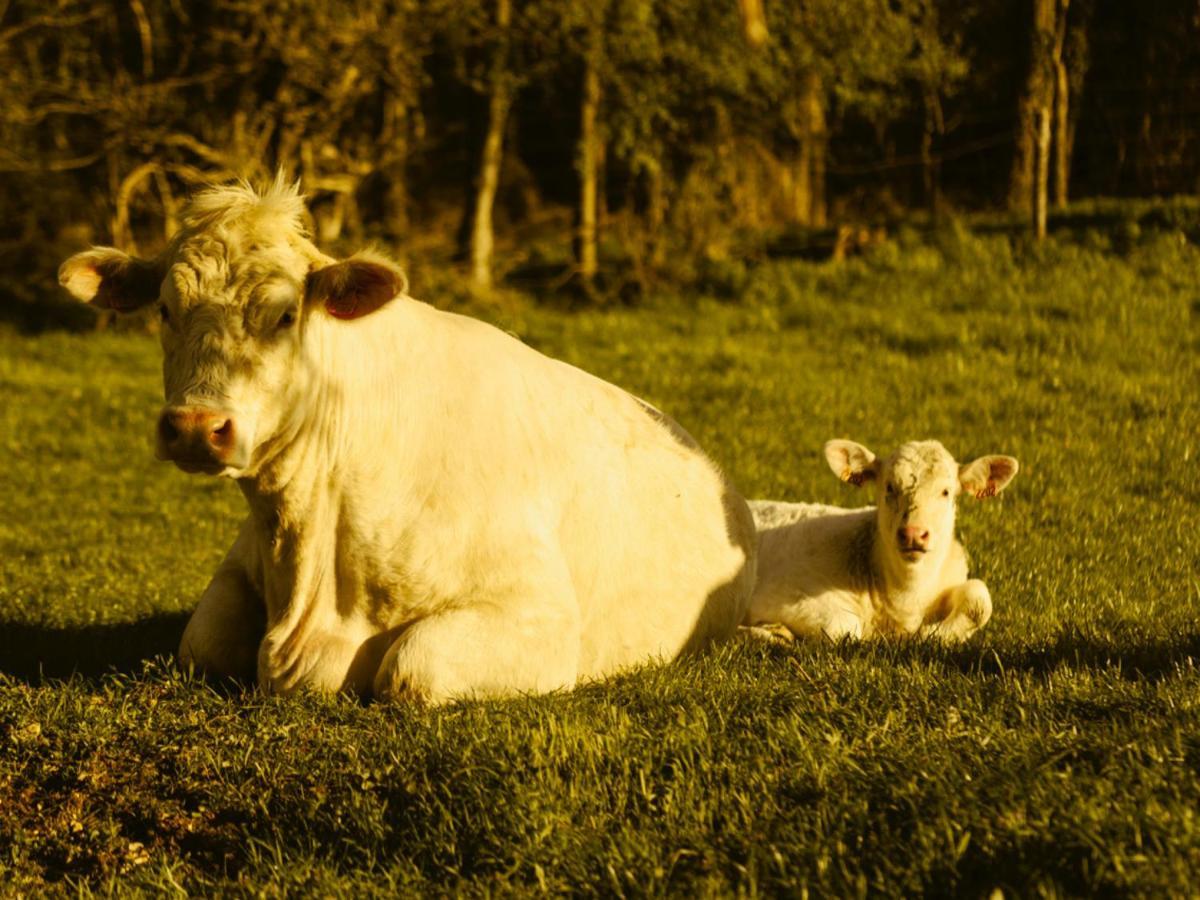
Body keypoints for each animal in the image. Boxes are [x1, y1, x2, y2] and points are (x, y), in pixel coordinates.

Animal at [58, 176, 758, 705]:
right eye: (165, 310)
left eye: (285, 315)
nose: (197, 427)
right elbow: (198, 646)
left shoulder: (539, 614)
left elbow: (410, 670)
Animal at [744, 441, 1017, 643]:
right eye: (889, 487)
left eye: (946, 492)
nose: (914, 533)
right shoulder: (792, 597)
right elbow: (843, 627)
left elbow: (979, 599)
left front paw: (932, 633)